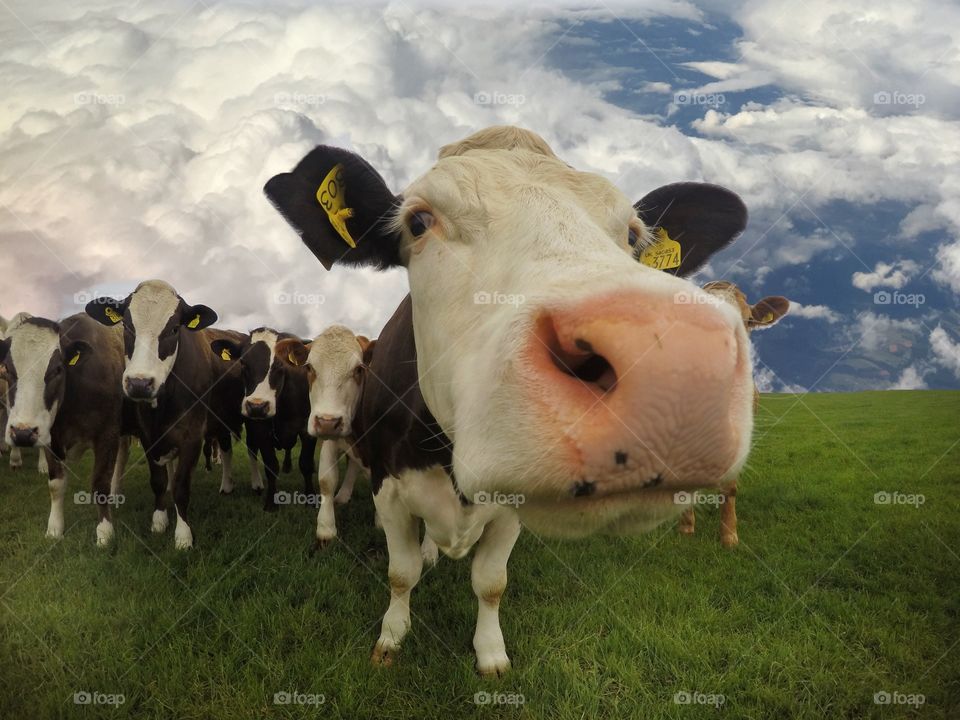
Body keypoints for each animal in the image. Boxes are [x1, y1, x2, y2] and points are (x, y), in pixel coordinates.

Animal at [0, 312, 133, 544]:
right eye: (7, 369)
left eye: (57, 369)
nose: (23, 433)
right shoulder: (51, 438)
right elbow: (56, 485)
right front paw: (54, 528)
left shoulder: (107, 434)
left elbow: (100, 483)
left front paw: (105, 532)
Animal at [85, 278, 248, 548]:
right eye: (127, 326)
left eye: (173, 329)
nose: (139, 383)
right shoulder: (148, 434)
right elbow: (159, 481)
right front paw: (159, 519)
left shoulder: (193, 435)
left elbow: (182, 486)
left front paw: (183, 535)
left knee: (230, 450)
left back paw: (232, 484)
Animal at [262, 125, 756, 676]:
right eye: (418, 221)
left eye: (633, 235)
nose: (671, 363)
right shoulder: (389, 488)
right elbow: (400, 573)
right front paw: (391, 637)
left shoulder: (509, 512)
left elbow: (491, 583)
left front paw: (491, 653)